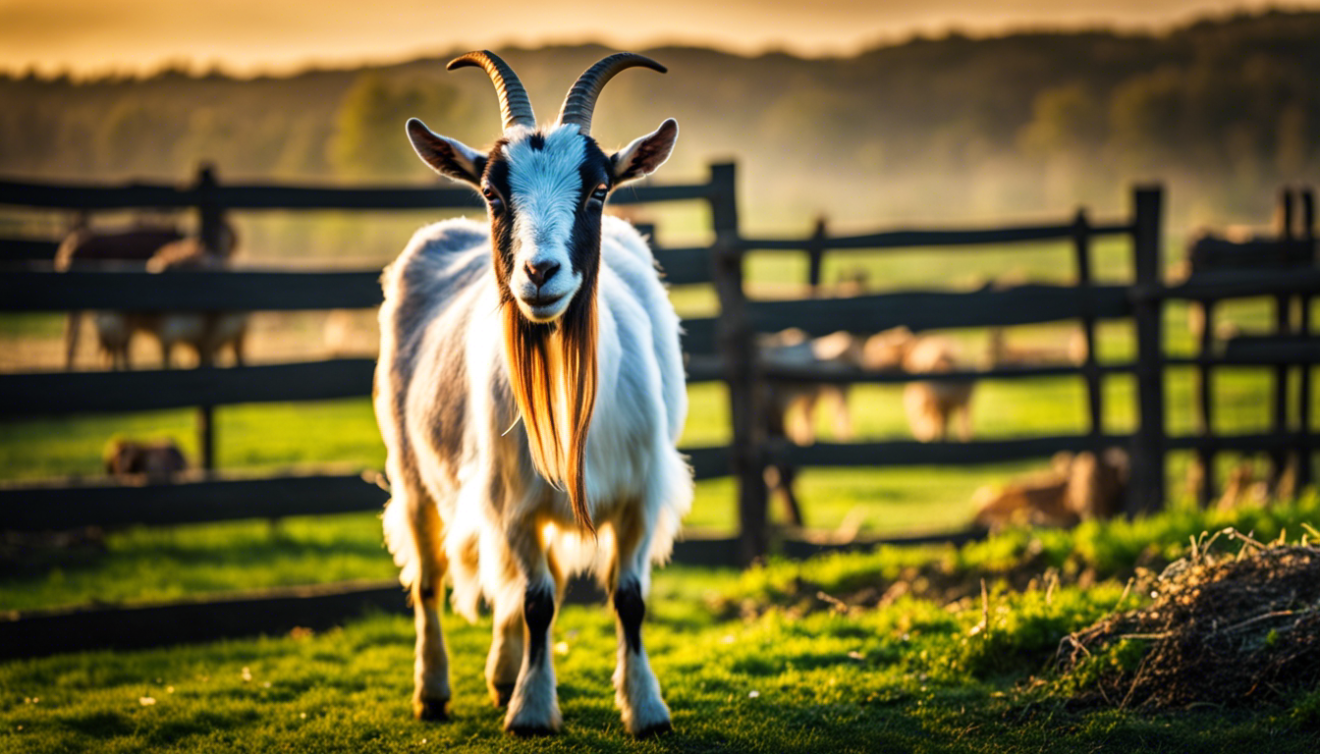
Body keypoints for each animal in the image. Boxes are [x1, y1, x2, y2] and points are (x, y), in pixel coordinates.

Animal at [375, 52, 689, 736]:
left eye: (598, 190)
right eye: (493, 193)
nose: (540, 273)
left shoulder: (638, 495)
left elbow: (627, 598)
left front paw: (646, 707)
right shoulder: (512, 501)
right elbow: (538, 601)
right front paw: (533, 710)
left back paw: (500, 673)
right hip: (413, 474)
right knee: (431, 580)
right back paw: (433, 689)